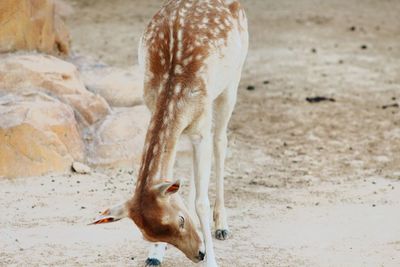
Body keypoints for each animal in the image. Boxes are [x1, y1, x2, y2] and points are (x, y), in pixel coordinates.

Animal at [92, 0, 248, 267]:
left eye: (180, 220)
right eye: (149, 235)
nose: (199, 254)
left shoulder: (201, 127)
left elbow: (201, 202)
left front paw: (212, 261)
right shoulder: (151, 105)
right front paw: (154, 255)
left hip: (232, 81)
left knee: (221, 140)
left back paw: (222, 226)